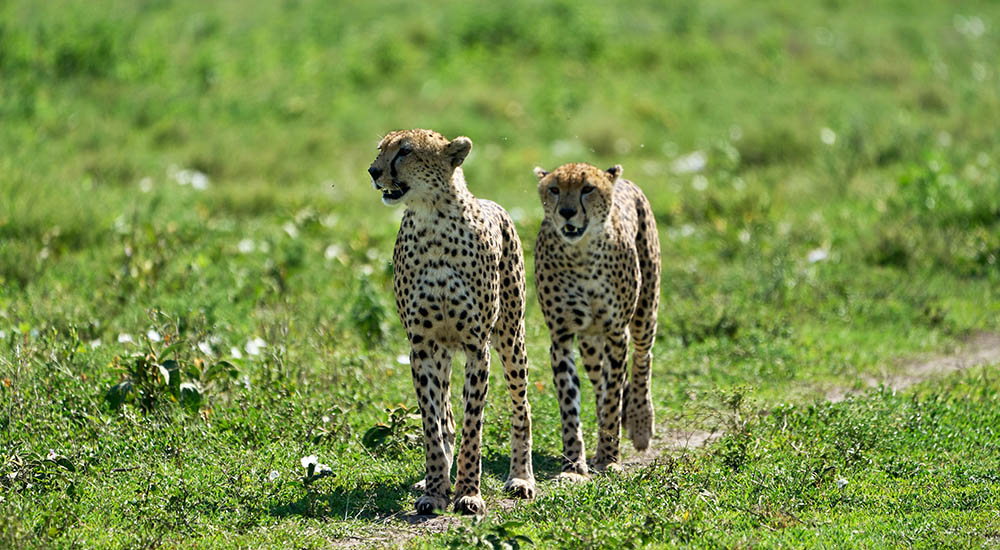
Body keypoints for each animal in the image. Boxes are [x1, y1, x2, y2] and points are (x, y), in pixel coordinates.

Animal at [367, 129, 535, 515]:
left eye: (405, 151)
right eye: (381, 148)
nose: (373, 171)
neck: (432, 219)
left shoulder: (476, 346)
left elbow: (474, 424)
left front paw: (469, 493)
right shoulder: (422, 347)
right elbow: (432, 421)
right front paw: (434, 491)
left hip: (511, 338)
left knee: (522, 407)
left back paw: (521, 478)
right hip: (443, 352)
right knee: (446, 416)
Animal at [532, 162, 661, 481]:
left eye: (587, 188)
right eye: (554, 189)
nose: (567, 212)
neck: (581, 254)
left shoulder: (617, 333)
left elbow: (614, 396)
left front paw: (608, 458)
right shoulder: (561, 337)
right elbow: (570, 402)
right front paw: (573, 466)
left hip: (645, 312)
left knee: (643, 359)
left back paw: (640, 422)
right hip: (590, 343)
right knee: (600, 381)